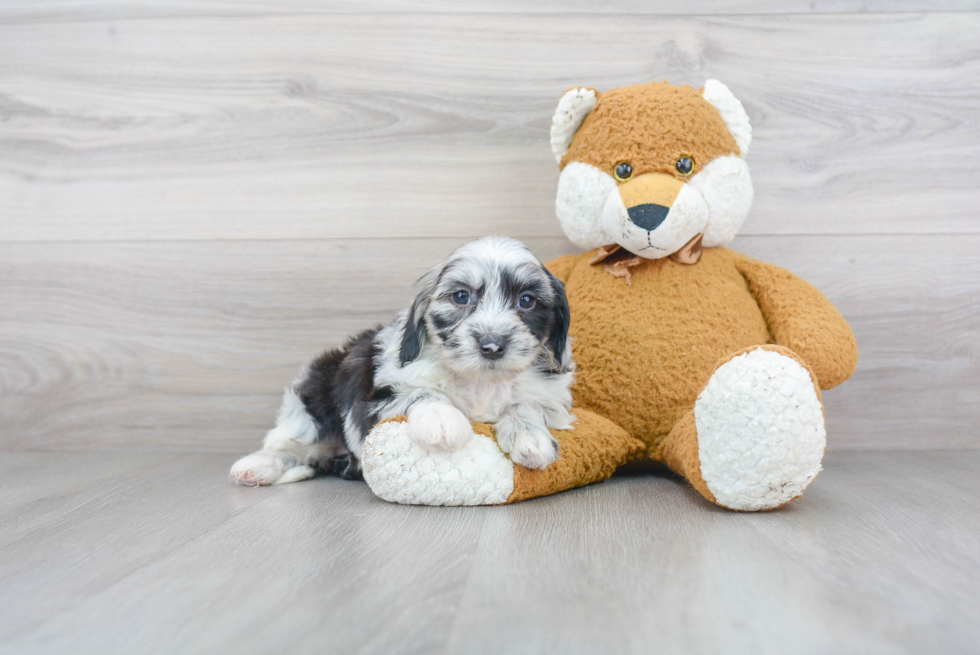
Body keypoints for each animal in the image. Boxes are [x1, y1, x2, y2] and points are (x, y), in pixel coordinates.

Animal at [232, 237, 576, 486]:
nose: (492, 345)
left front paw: (529, 436)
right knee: (288, 445)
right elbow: (421, 392)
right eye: (461, 296)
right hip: (312, 404)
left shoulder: (549, 399)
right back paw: (255, 466)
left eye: (527, 301)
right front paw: (441, 419)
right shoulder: (378, 396)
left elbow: (524, 404)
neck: (480, 381)